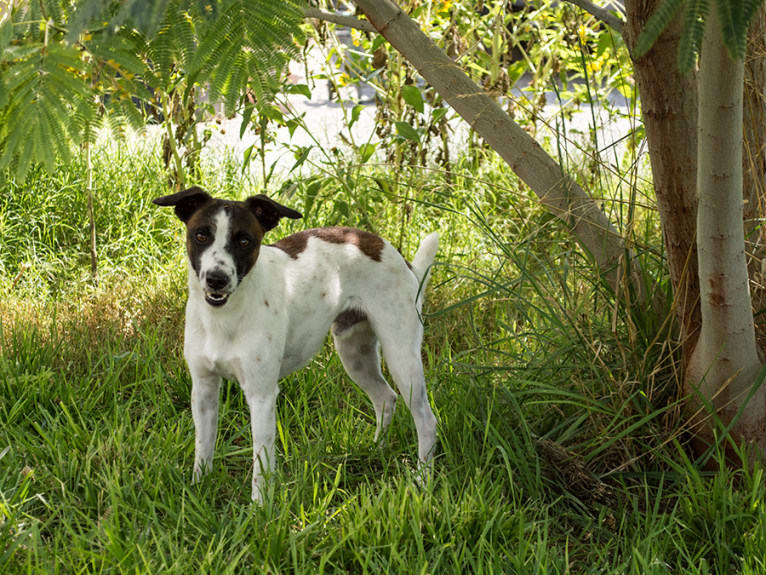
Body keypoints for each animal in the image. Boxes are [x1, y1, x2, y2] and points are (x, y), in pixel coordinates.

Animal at [154, 188, 440, 500]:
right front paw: (197, 489)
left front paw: (259, 507)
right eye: (201, 235)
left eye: (244, 241)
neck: (224, 317)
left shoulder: (262, 396)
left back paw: (423, 480)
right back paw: (375, 450)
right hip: (355, 354)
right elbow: (203, 449)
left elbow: (262, 463)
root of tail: (400, 258)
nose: (217, 279)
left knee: (426, 420)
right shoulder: (203, 389)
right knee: (386, 398)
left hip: (402, 358)